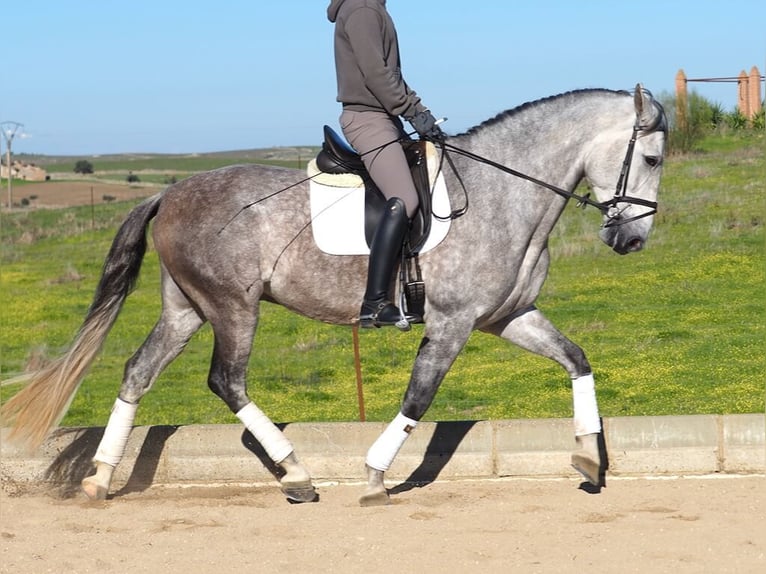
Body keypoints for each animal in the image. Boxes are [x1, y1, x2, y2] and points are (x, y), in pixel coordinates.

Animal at [1, 83, 664, 506]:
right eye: (654, 157)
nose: (631, 239)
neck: (502, 193)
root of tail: (168, 193)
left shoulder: (509, 316)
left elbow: (577, 359)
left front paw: (589, 460)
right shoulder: (451, 324)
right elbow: (418, 398)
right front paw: (373, 477)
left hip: (186, 309)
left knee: (138, 372)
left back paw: (100, 479)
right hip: (233, 308)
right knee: (227, 381)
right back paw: (296, 474)